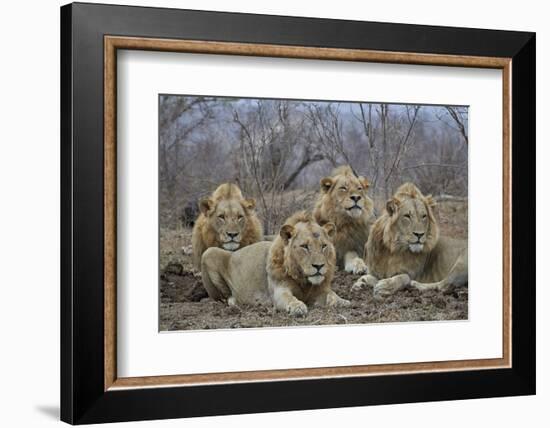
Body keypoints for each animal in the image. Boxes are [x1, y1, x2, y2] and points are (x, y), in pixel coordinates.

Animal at [201, 211, 352, 316]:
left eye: (324, 246)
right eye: (304, 246)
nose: (319, 266)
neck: (303, 280)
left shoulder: (321, 290)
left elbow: (332, 295)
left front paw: (343, 302)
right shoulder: (279, 291)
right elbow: (289, 298)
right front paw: (298, 307)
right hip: (209, 252)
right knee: (222, 298)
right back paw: (234, 302)